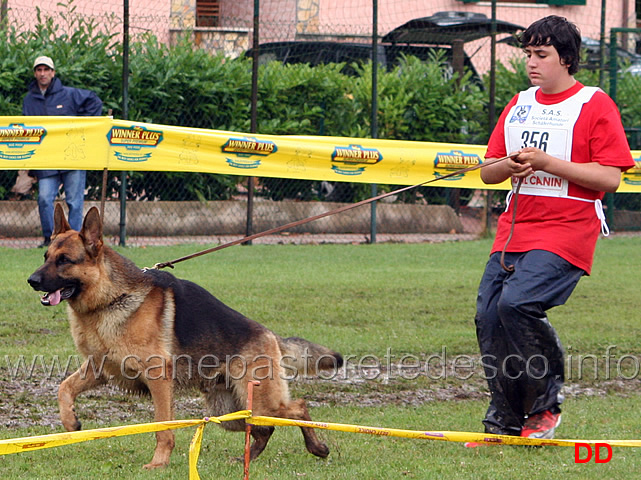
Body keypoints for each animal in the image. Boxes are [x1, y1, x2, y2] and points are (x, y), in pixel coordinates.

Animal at [28, 205, 344, 468]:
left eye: (64, 260)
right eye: (45, 257)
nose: (31, 280)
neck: (110, 298)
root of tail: (270, 335)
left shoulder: (158, 378)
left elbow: (162, 426)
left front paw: (158, 463)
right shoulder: (101, 368)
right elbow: (64, 388)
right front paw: (70, 422)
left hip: (258, 399)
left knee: (297, 408)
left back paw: (317, 447)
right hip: (230, 410)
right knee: (264, 426)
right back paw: (249, 459)